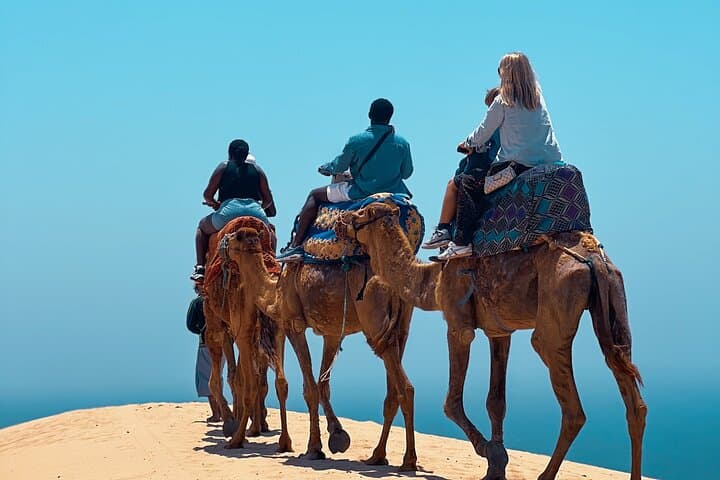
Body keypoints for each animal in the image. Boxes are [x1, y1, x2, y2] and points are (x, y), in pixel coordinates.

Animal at [224, 226, 418, 470]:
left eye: (236, 237)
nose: (224, 242)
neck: (275, 294)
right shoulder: (332, 333)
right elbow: (323, 384)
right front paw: (337, 436)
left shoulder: (293, 324)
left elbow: (310, 388)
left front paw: (313, 449)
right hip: (400, 328)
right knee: (393, 390)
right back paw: (377, 456)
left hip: (374, 321)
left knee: (406, 388)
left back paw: (408, 461)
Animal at [336, 202, 647, 480]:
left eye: (364, 212)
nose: (341, 220)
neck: (432, 280)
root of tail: (594, 260)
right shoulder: (499, 331)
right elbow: (496, 402)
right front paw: (495, 469)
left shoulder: (457, 324)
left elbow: (451, 403)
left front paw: (491, 453)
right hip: (614, 303)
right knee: (633, 399)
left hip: (557, 307)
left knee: (572, 408)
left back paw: (545, 475)